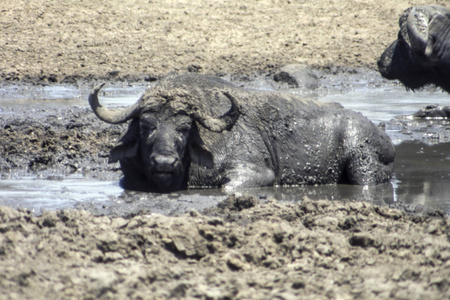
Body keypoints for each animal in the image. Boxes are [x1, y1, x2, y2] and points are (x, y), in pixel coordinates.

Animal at [89, 74, 396, 192]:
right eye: (146, 125)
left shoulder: (257, 172)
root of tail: (387, 141)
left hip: (363, 164)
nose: (164, 162)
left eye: (185, 128)